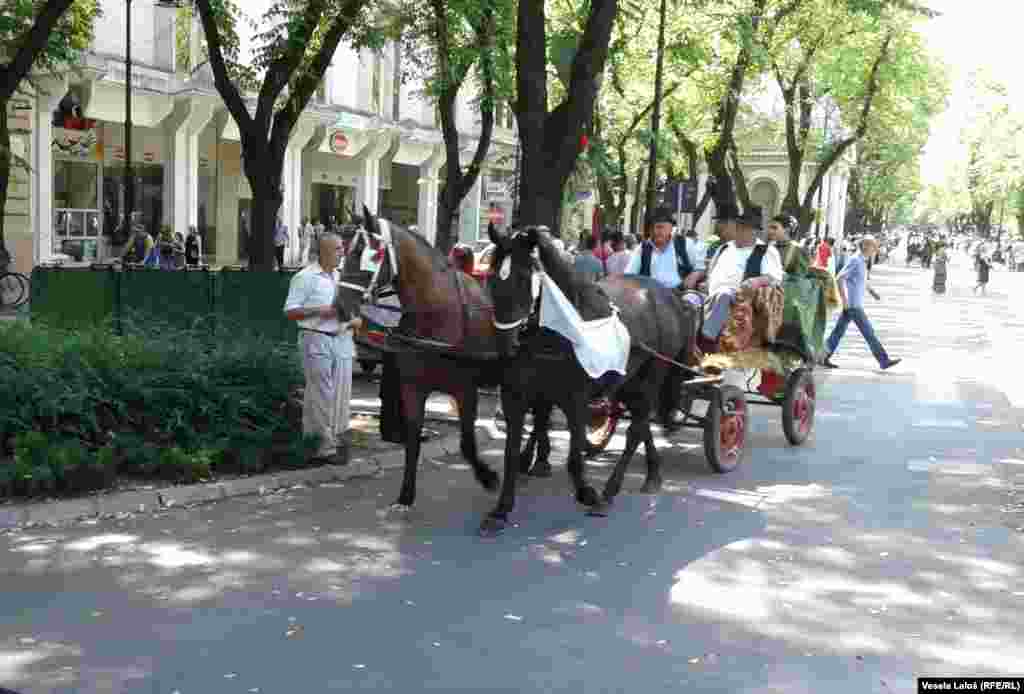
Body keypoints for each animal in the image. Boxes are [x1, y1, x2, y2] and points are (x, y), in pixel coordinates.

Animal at [483, 225, 700, 536]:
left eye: (524, 277)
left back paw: (609, 492)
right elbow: (511, 453)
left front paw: (587, 493)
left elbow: (574, 458)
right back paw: (653, 473)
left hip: (652, 375)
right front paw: (501, 510)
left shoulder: (575, 398)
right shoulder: (517, 394)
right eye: (491, 277)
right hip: (627, 381)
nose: (505, 345)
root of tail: (669, 297)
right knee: (641, 422)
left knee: (636, 429)